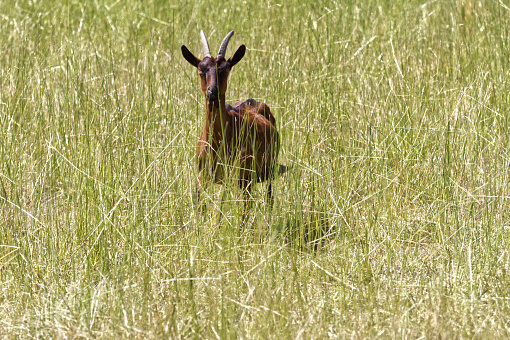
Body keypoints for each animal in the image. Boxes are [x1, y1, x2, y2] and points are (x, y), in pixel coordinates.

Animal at [181, 31, 280, 218]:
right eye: (201, 70)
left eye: (225, 70)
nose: (212, 92)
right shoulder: (202, 176)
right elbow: (202, 207)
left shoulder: (241, 177)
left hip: (264, 173)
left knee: (264, 201)